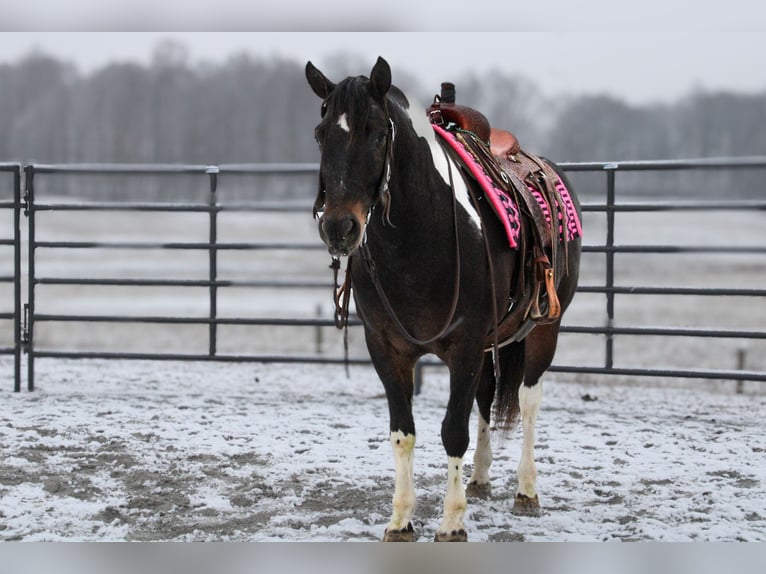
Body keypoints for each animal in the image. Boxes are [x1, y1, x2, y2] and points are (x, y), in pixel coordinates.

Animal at [306, 56, 584, 544]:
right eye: (322, 134)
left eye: (376, 132)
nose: (339, 227)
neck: (420, 237)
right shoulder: (387, 349)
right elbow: (403, 432)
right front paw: (401, 520)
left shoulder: (465, 345)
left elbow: (453, 431)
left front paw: (452, 523)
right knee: (488, 396)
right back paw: (479, 479)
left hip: (544, 327)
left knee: (528, 399)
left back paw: (526, 491)